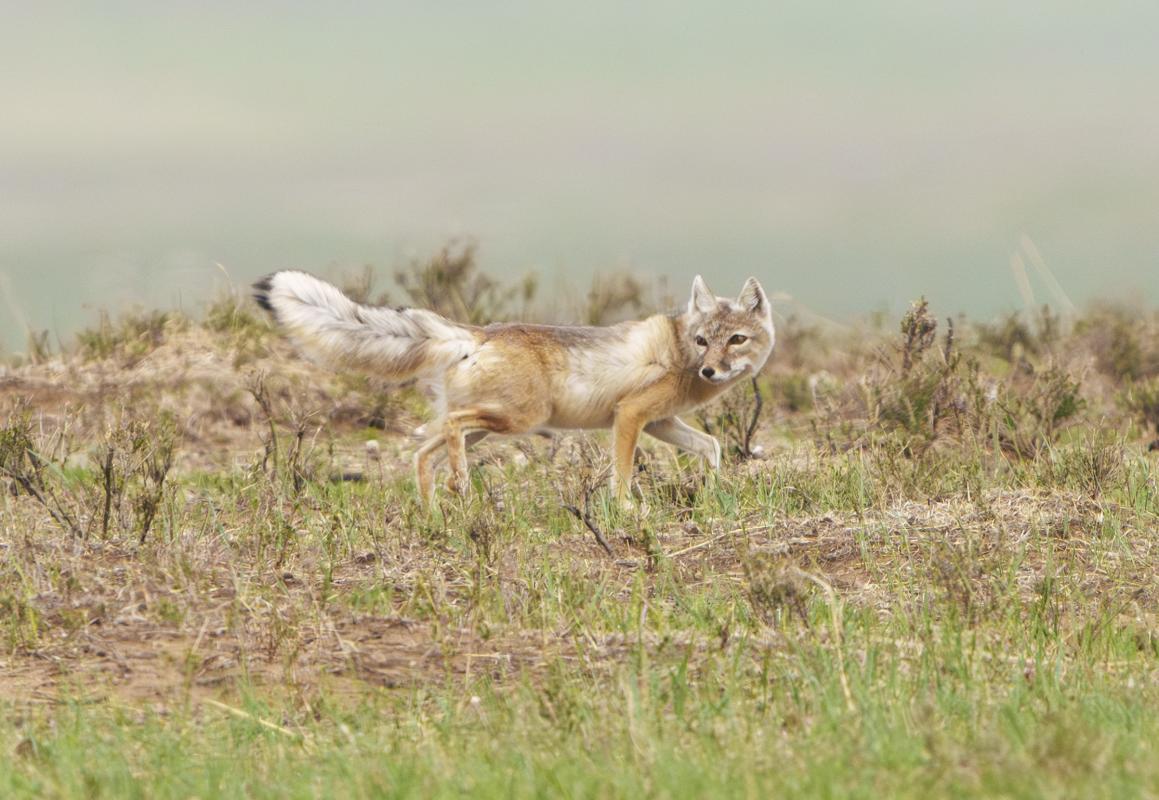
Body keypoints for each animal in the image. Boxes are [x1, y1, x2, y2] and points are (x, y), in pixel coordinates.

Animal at [253, 271, 775, 506]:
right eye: (703, 341)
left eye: (735, 340)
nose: (710, 372)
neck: (678, 349)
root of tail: (479, 332)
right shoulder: (630, 417)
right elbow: (623, 475)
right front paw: (626, 510)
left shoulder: (660, 421)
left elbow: (711, 448)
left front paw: (714, 491)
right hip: (516, 420)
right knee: (449, 431)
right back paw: (459, 485)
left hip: (490, 426)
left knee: (423, 451)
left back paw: (432, 508)